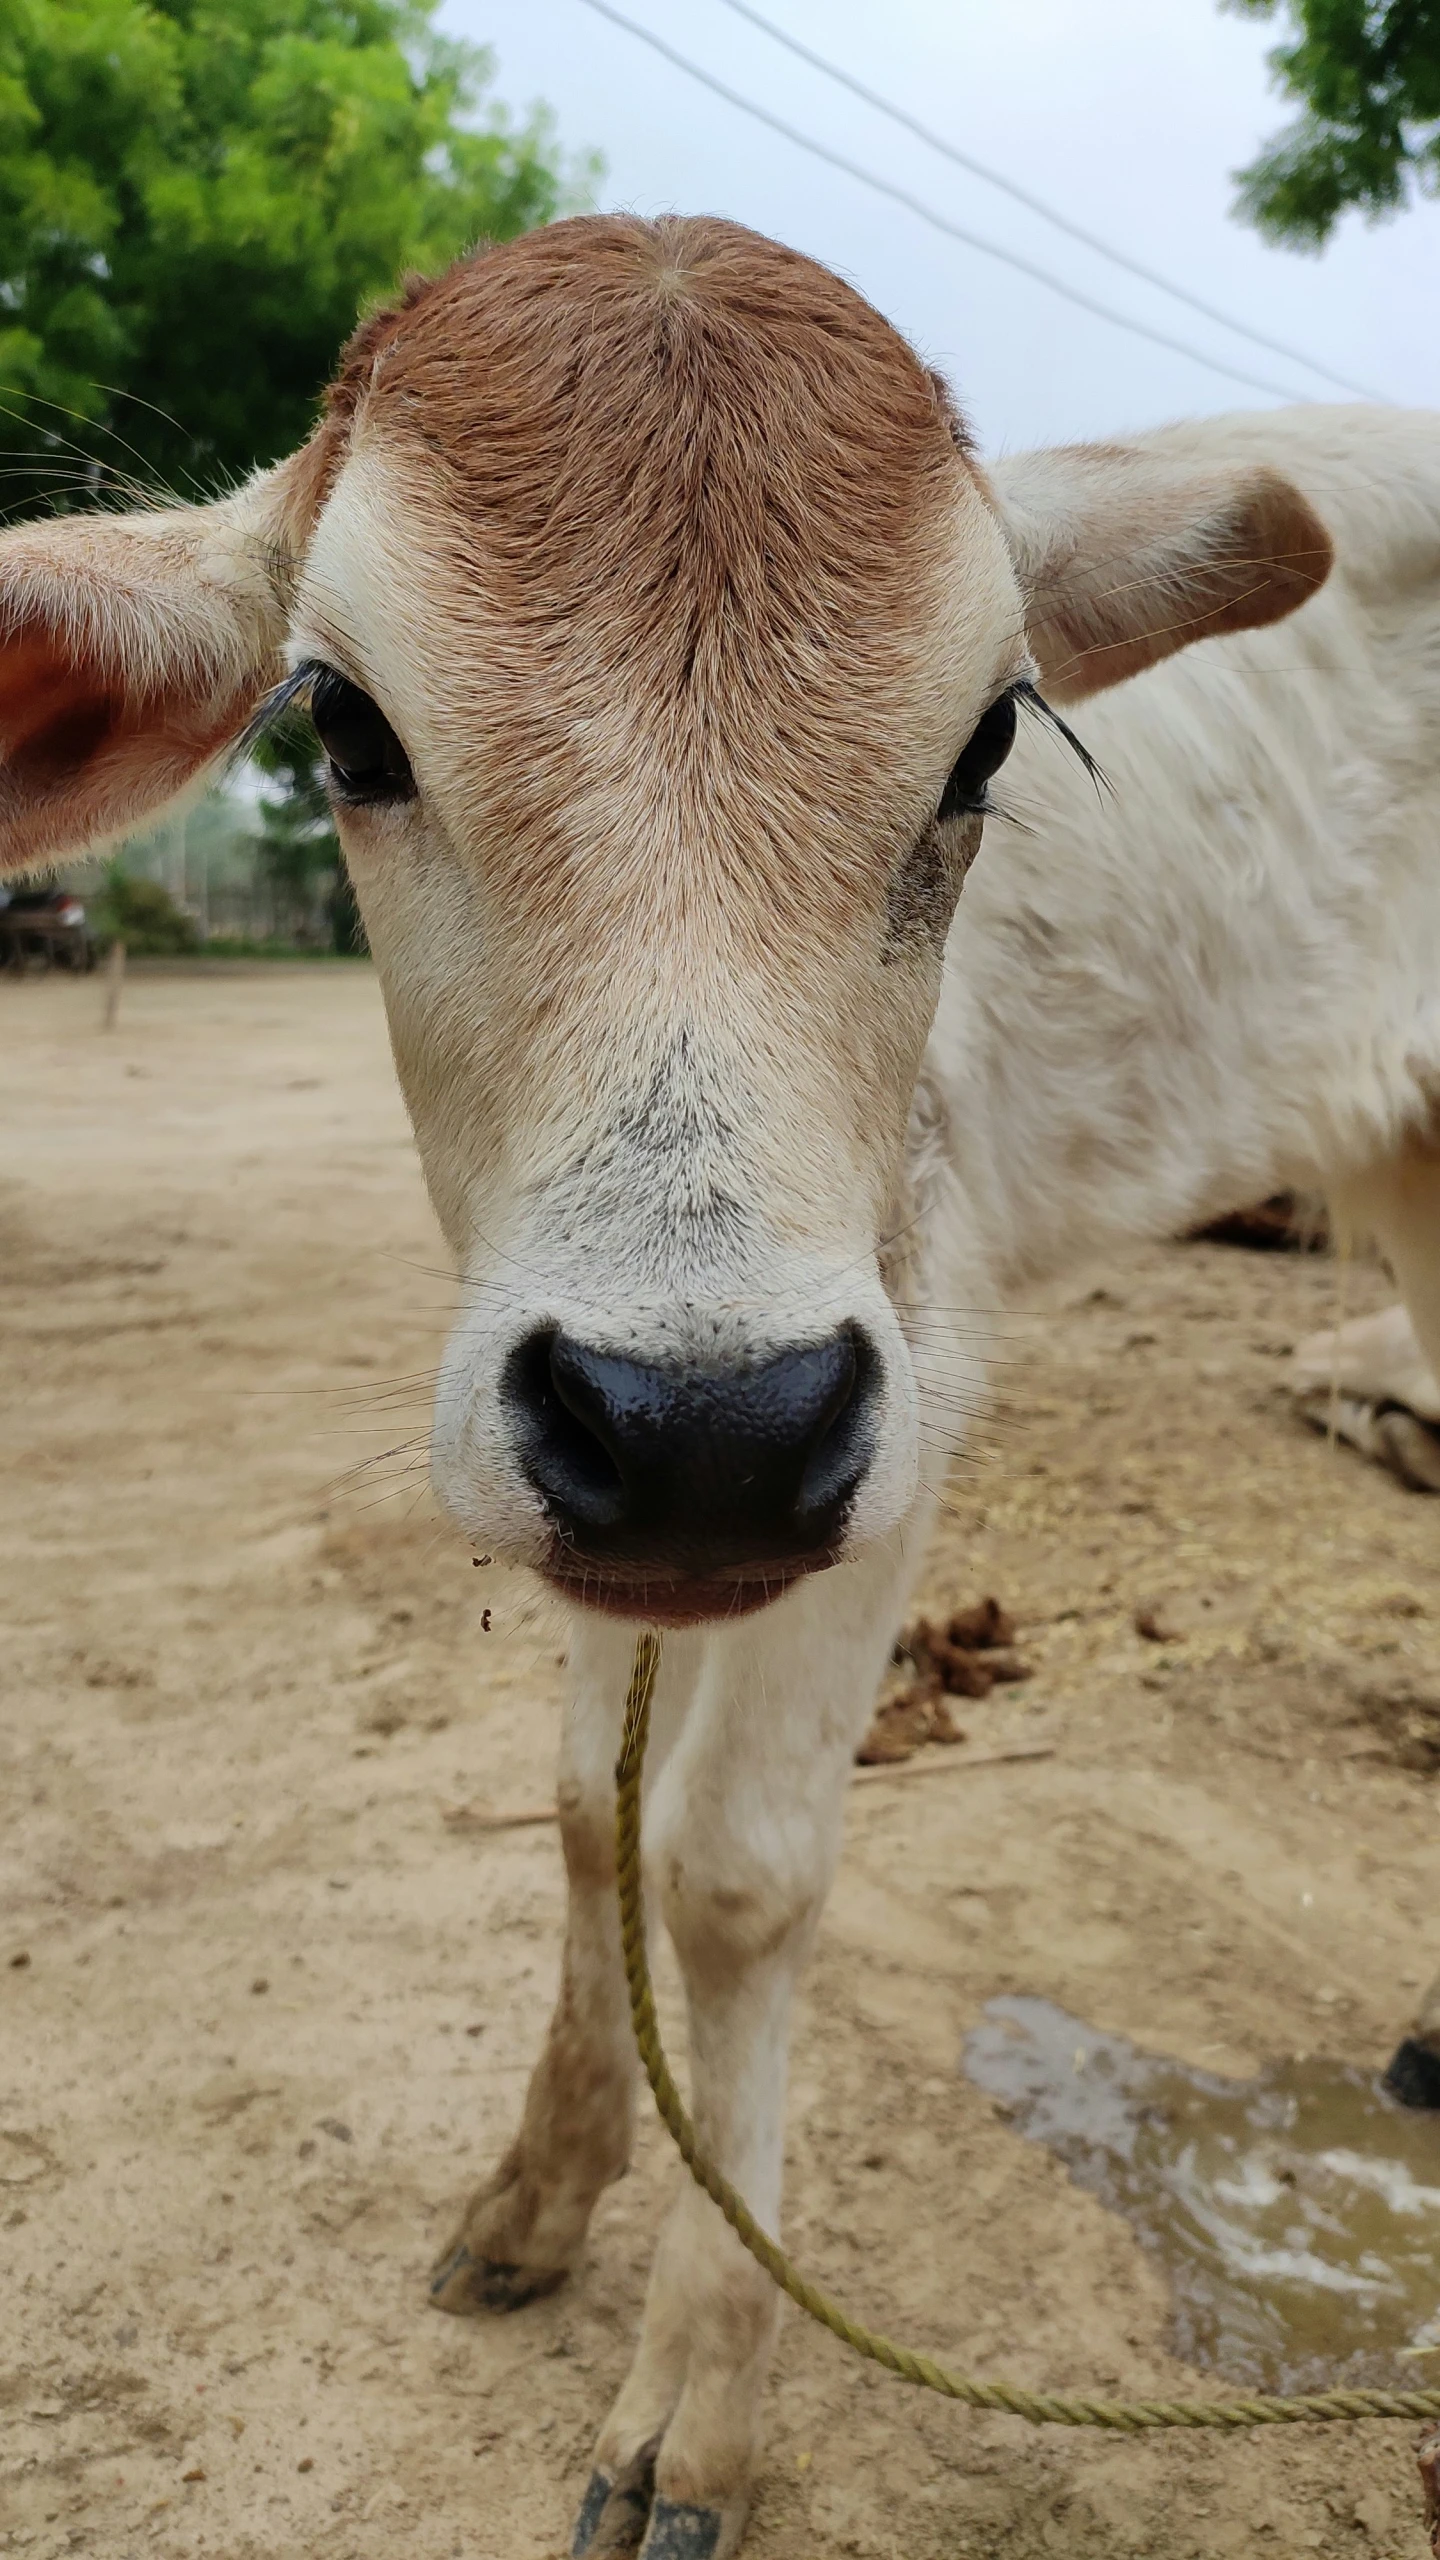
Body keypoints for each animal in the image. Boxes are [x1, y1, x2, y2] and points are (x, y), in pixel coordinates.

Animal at [5, 220, 1424, 2560]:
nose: (709, 1428)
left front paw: (700, 2395)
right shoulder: (586, 1476)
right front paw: (533, 2195)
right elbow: (592, 1816)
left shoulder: (899, 1405)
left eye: (988, 739)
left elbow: (736, 1869)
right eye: (342, 721)